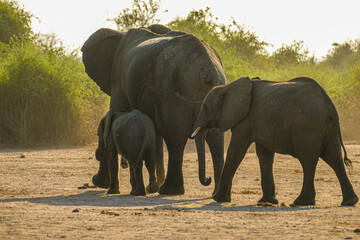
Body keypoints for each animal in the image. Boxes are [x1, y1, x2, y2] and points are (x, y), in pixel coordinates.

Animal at [191, 77, 358, 206]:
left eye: (205, 108)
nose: (208, 178)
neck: (228, 87)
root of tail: (330, 106)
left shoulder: (245, 121)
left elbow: (236, 152)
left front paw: (218, 199)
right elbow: (264, 155)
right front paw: (267, 201)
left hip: (308, 128)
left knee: (308, 160)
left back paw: (301, 202)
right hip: (326, 128)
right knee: (334, 158)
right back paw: (349, 201)